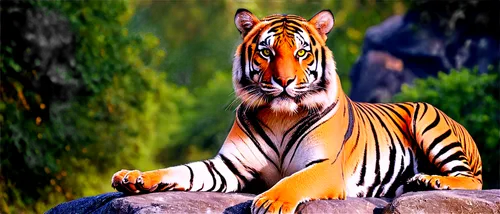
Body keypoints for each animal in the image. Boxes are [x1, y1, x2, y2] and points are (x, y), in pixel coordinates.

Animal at [111, 8, 482, 214]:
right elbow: (181, 170)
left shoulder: (325, 166)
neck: (280, 115)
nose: (285, 81)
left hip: (427, 120)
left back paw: (430, 179)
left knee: (472, 180)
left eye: (302, 52)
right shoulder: (227, 166)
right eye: (266, 52)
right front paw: (134, 177)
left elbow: (294, 180)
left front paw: (270, 202)